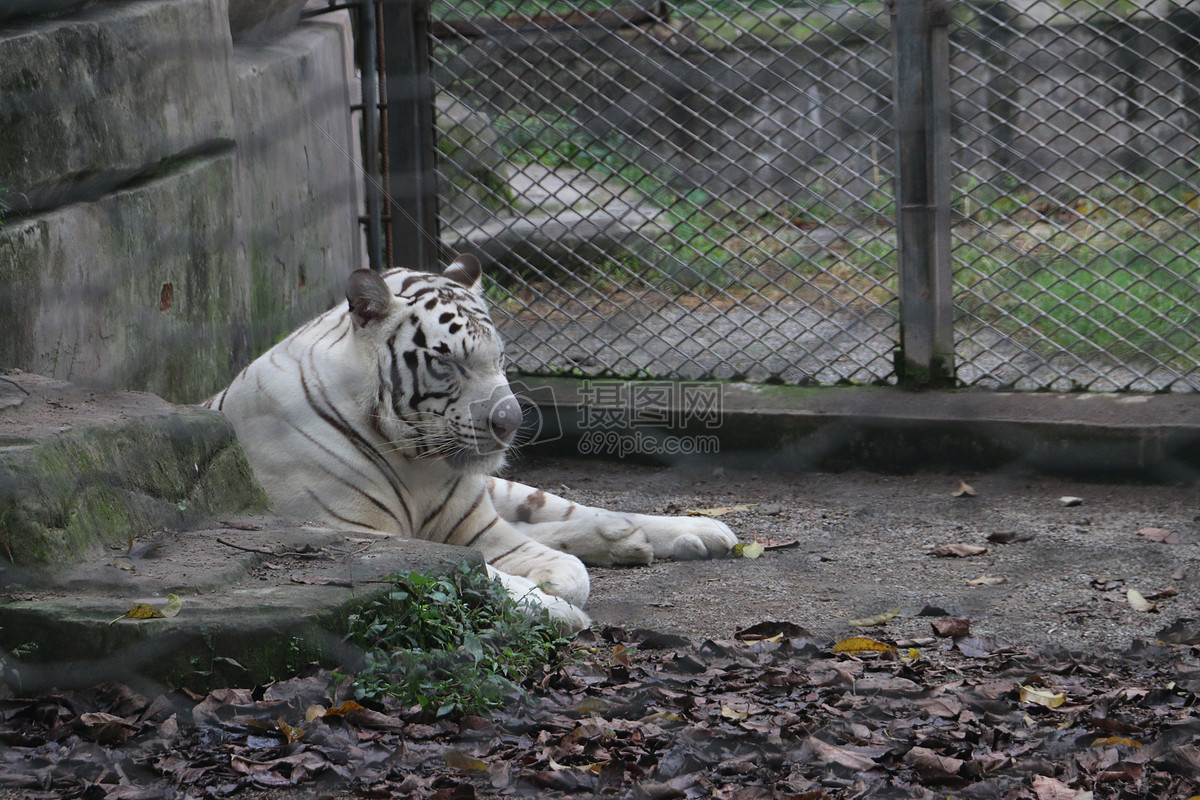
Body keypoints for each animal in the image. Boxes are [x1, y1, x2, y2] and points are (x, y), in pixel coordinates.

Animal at [201, 253, 734, 628]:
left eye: (500, 357)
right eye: (448, 362)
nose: (510, 422)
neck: (414, 461)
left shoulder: (476, 525)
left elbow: (555, 565)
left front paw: (554, 582)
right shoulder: (354, 537)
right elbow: (486, 571)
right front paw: (556, 605)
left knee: (566, 508)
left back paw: (687, 531)